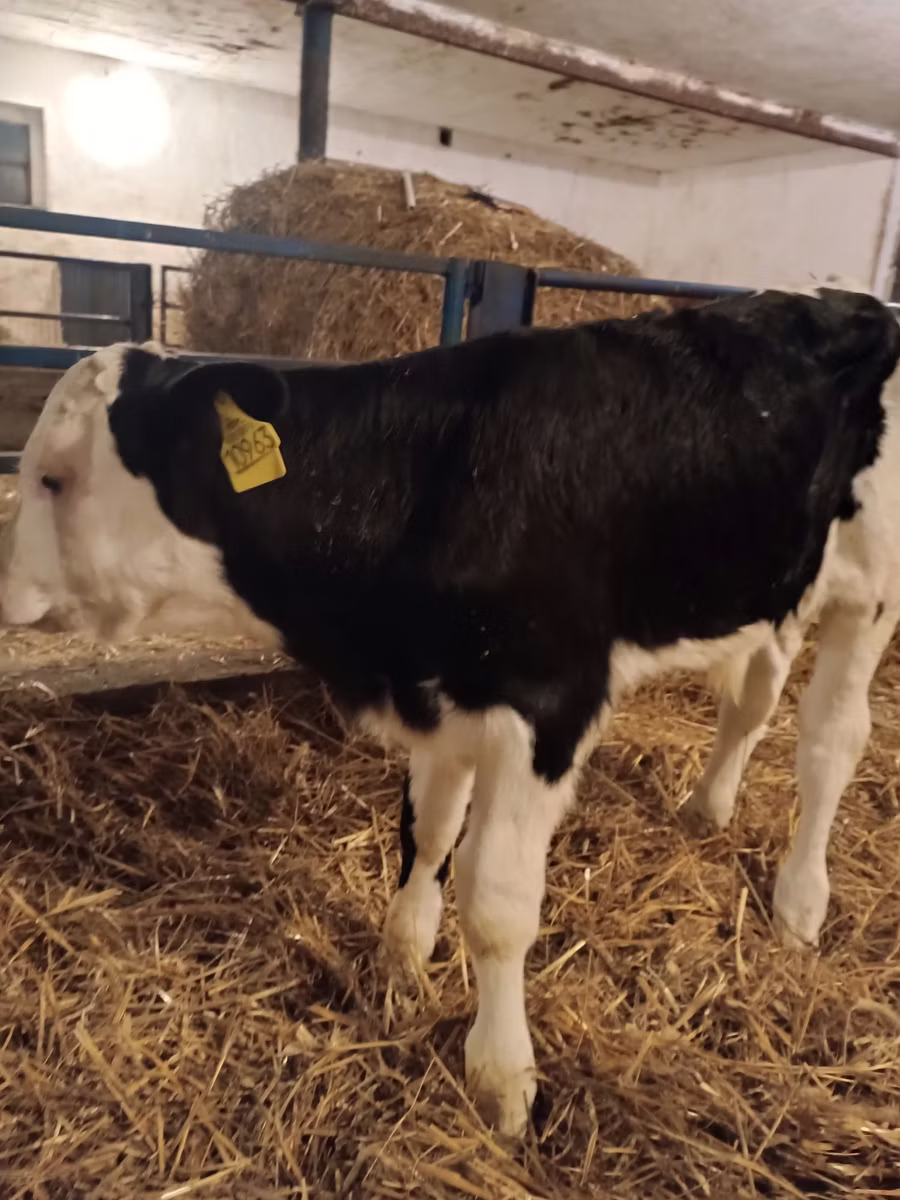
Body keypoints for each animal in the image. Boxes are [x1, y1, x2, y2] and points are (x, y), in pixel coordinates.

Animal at [1, 287, 898, 1136]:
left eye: (53, 478)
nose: (5, 593)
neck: (430, 479)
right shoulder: (439, 697)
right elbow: (425, 833)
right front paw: (402, 959)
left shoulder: (546, 706)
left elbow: (496, 900)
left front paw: (501, 1077)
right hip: (774, 588)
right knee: (754, 697)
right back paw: (709, 806)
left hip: (869, 596)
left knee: (828, 744)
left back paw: (800, 904)